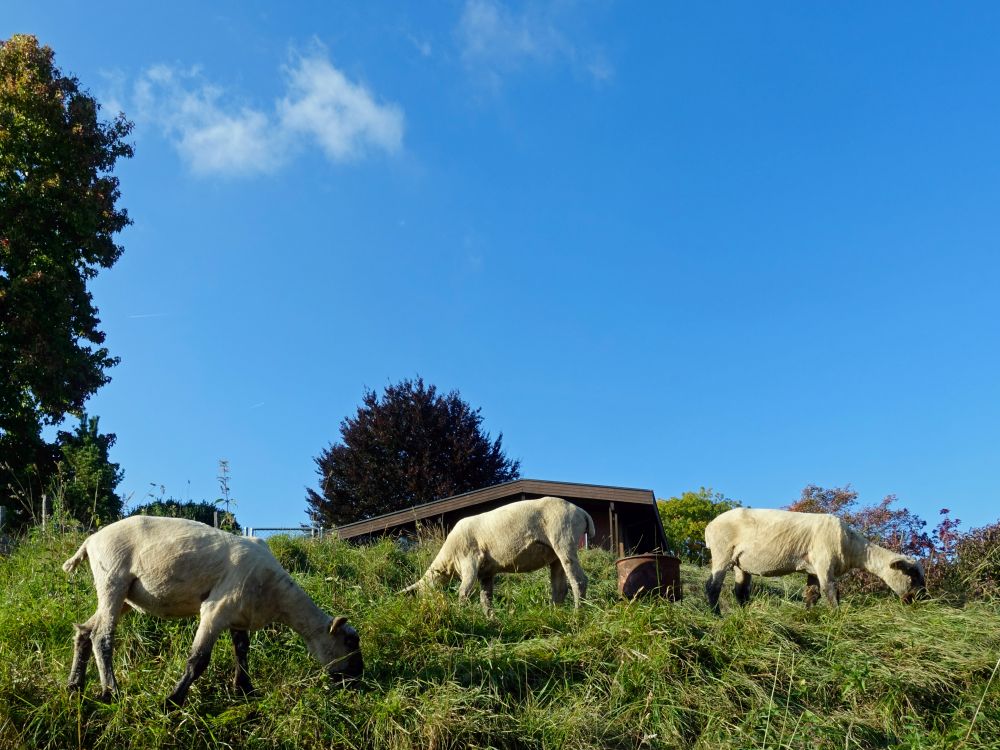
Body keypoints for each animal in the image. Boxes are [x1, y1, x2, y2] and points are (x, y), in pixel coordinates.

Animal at [402, 496, 596, 612]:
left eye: (422, 593)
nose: (424, 606)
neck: (447, 562)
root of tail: (581, 512)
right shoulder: (486, 573)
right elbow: (485, 599)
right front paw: (491, 621)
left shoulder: (469, 561)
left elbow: (463, 591)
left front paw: (460, 613)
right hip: (554, 555)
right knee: (559, 588)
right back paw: (554, 614)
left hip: (564, 539)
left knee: (579, 581)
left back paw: (578, 613)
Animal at [700, 508, 924, 612]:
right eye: (912, 575)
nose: (922, 598)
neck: (853, 547)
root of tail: (709, 526)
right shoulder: (824, 562)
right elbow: (830, 592)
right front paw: (836, 617)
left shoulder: (813, 570)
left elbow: (812, 595)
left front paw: (809, 615)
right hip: (722, 552)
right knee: (713, 586)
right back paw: (715, 614)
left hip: (740, 562)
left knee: (740, 590)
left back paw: (744, 612)